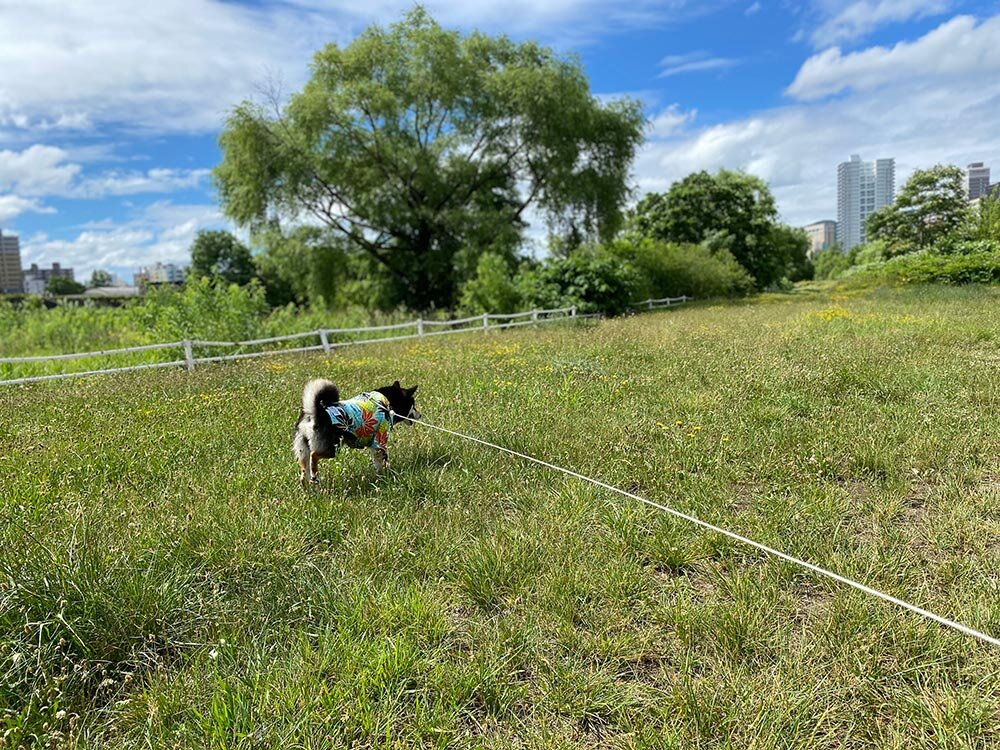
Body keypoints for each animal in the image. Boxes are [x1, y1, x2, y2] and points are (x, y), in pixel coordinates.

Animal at [292, 382, 420, 488]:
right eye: (413, 405)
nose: (420, 415)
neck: (386, 402)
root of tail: (314, 412)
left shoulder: (374, 446)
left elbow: (377, 463)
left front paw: (381, 477)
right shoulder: (380, 441)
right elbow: (384, 462)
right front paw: (388, 476)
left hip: (304, 449)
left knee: (303, 474)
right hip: (332, 447)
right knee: (314, 456)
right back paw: (314, 477)